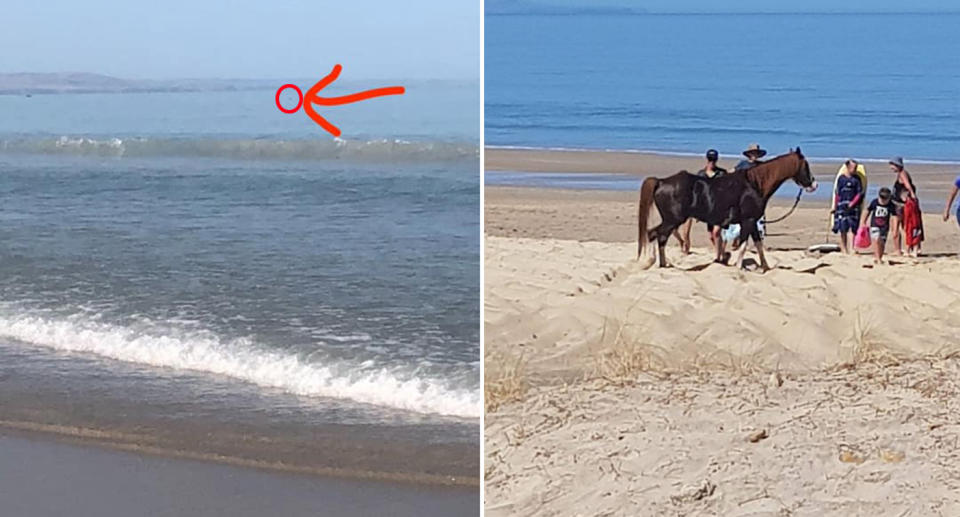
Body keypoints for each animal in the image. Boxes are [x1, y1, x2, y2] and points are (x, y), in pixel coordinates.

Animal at [636, 147, 816, 270]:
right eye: (805, 165)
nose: (814, 184)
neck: (754, 184)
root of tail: (661, 181)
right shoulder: (748, 220)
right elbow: (744, 245)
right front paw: (738, 268)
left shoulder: (752, 222)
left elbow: (758, 245)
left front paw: (765, 268)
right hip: (672, 220)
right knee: (655, 235)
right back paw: (654, 262)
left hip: (671, 221)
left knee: (656, 235)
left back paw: (660, 264)